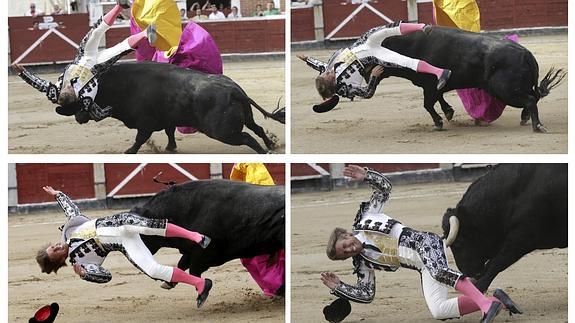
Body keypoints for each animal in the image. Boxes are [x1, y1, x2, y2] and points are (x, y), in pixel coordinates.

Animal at [57, 63, 284, 156]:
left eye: (82, 101)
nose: (78, 118)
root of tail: (234, 89)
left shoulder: (145, 122)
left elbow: (140, 138)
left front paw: (129, 151)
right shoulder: (167, 119)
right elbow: (170, 132)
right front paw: (170, 148)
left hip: (222, 131)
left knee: (247, 137)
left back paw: (264, 152)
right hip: (245, 117)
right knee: (257, 128)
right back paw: (271, 145)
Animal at [364, 25, 568, 132]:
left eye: (369, 58)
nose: (366, 77)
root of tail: (526, 53)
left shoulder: (430, 85)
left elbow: (428, 104)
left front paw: (439, 123)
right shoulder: (435, 84)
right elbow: (438, 98)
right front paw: (448, 113)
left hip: (505, 90)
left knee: (531, 100)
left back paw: (537, 126)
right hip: (515, 88)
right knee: (534, 97)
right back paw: (526, 118)